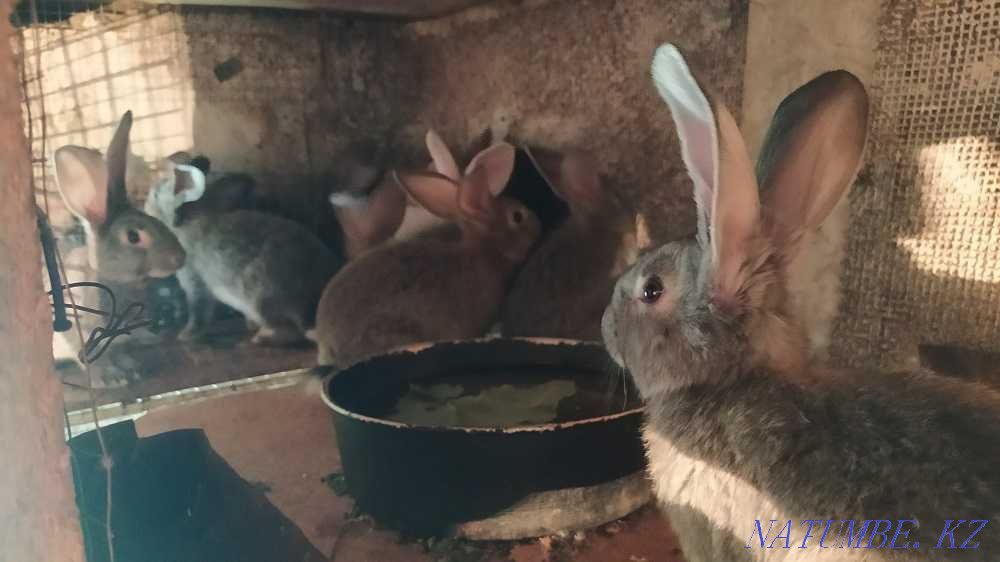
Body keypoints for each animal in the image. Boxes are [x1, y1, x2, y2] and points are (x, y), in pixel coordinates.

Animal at [144, 161, 341, 346]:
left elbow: (198, 310)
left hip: (258, 294)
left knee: (289, 331)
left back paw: (260, 337)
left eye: (155, 195)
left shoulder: (195, 280)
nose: (145, 208)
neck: (186, 223)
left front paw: (186, 336)